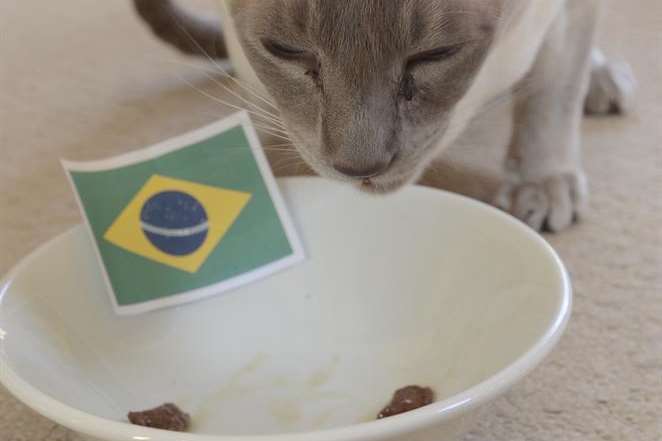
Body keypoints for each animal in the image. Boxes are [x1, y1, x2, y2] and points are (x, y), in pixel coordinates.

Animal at [132, 0, 636, 232]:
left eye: (436, 55)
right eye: (285, 50)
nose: (360, 167)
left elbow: (555, 90)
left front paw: (544, 185)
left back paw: (604, 81)